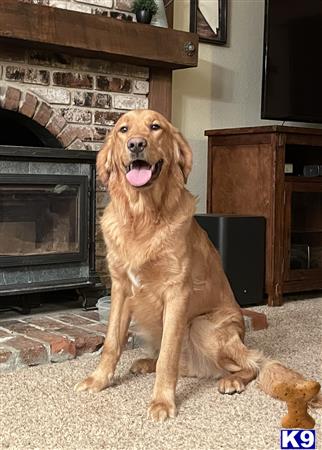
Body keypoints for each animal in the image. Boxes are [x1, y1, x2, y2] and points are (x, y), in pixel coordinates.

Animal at [75, 109, 320, 422]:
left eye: (155, 127)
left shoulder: (176, 292)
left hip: (202, 326)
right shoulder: (120, 288)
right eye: (123, 129)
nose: (136, 144)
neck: (142, 217)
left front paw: (162, 401)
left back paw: (232, 380)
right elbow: (111, 343)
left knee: (252, 364)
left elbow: (168, 355)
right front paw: (99, 380)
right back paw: (147, 362)